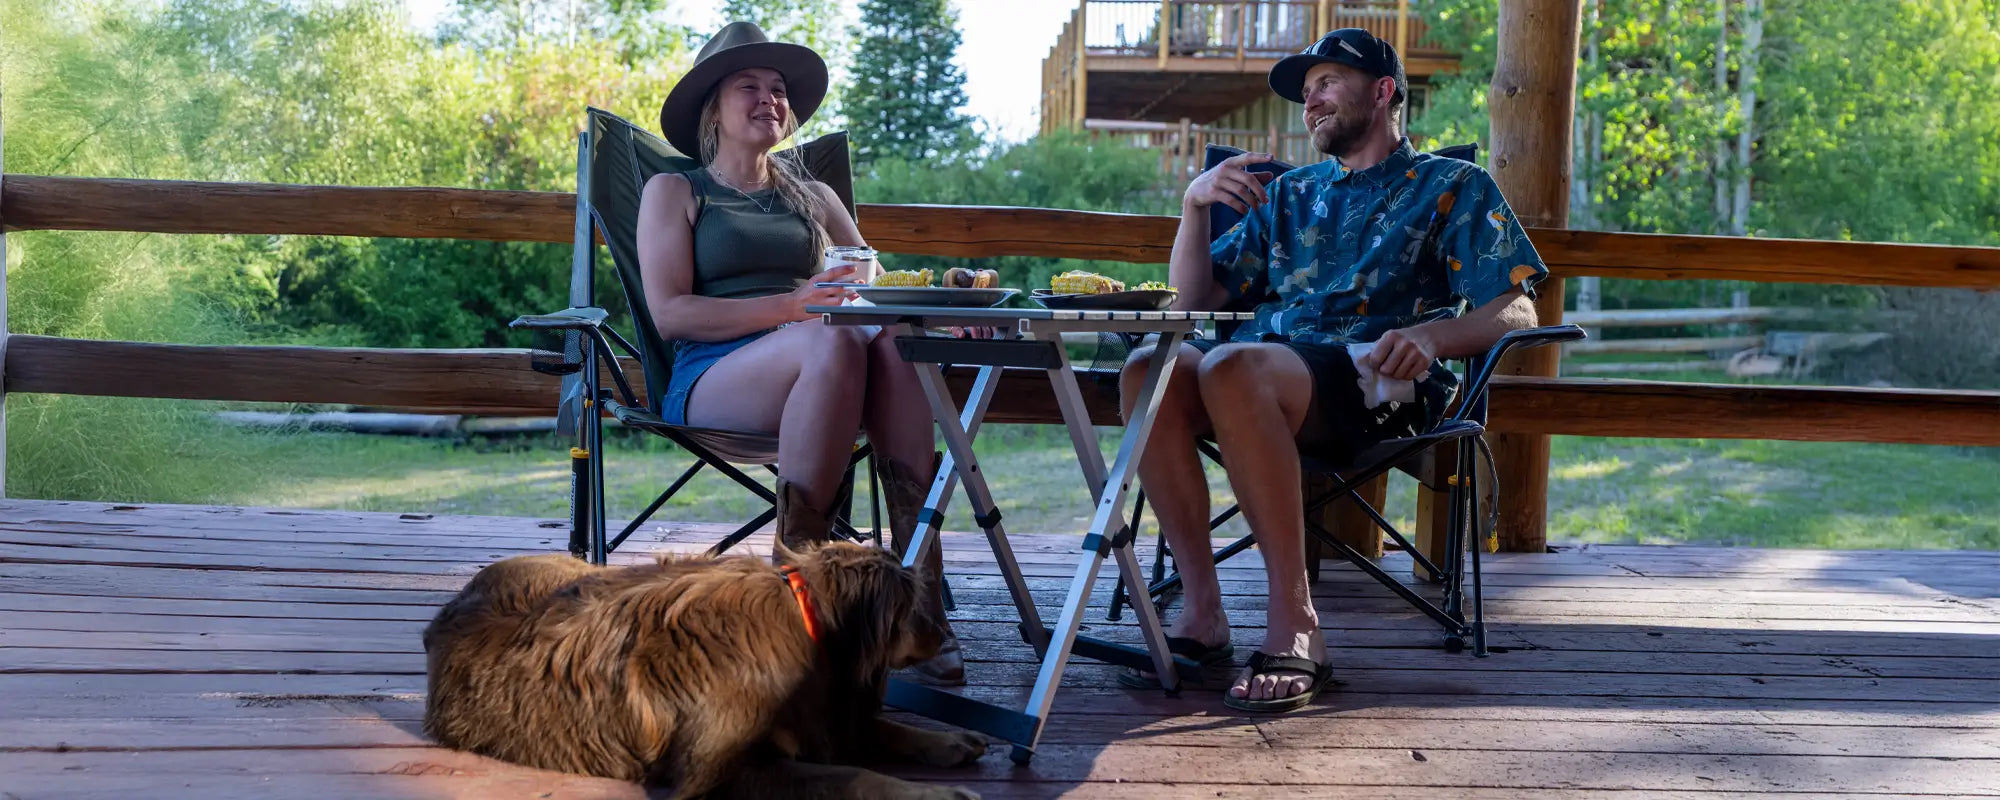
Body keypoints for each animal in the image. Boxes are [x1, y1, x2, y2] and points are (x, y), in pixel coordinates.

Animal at [422, 540, 984, 796]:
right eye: (912, 607)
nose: (941, 637)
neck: (807, 622)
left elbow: (878, 729)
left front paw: (948, 740)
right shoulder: (723, 772)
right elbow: (853, 775)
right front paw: (939, 793)